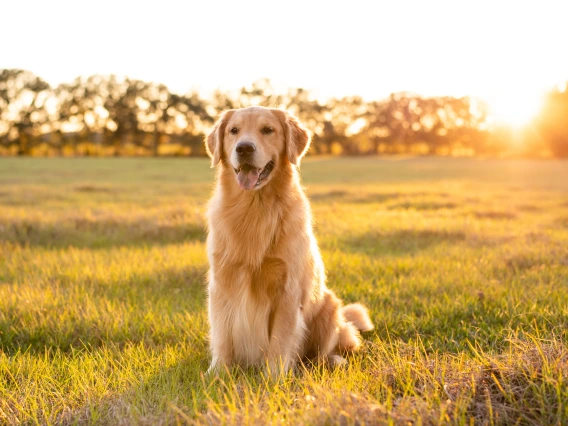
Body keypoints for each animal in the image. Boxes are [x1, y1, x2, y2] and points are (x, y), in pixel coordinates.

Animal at [204, 105, 372, 372]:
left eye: (267, 129)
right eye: (233, 130)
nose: (244, 148)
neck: (254, 208)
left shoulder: (287, 291)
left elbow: (280, 341)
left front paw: (275, 377)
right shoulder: (221, 283)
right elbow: (222, 336)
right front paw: (218, 372)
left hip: (329, 306)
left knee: (326, 351)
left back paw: (333, 360)